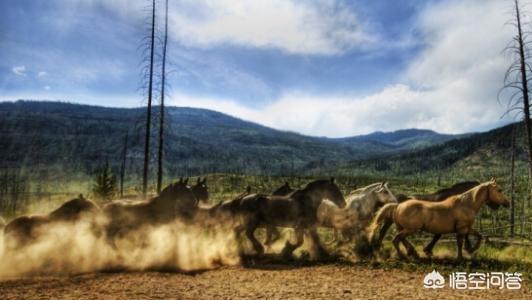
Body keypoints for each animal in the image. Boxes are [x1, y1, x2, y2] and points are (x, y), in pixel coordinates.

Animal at [370, 178, 512, 260]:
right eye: (499, 190)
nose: (507, 203)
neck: (465, 203)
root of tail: (398, 205)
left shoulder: (466, 228)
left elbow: (479, 236)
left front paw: (471, 250)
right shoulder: (461, 229)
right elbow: (459, 242)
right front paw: (461, 256)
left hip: (403, 228)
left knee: (398, 238)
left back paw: (409, 253)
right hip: (409, 229)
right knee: (395, 238)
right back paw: (402, 255)